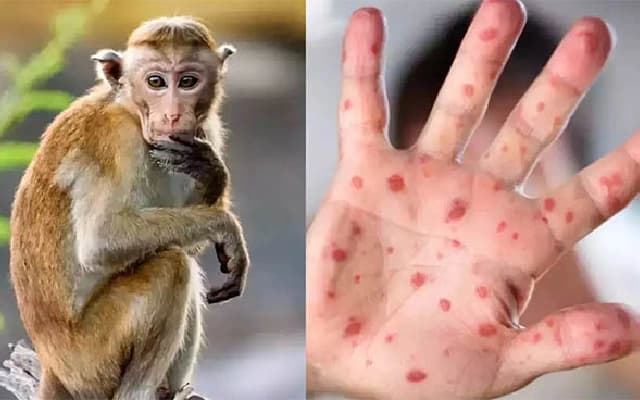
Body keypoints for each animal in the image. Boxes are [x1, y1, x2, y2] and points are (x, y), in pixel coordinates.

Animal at [9, 16, 249, 400]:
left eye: (188, 81)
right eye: (155, 82)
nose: (173, 114)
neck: (131, 110)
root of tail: (53, 366)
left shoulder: (204, 132)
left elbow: (192, 241)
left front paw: (211, 172)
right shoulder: (116, 139)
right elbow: (102, 240)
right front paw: (227, 226)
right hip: (91, 359)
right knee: (171, 267)